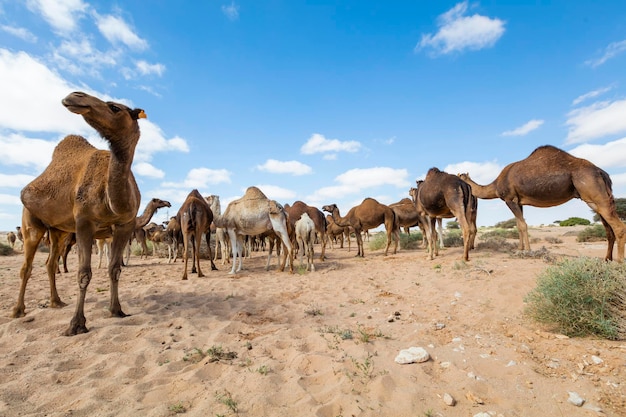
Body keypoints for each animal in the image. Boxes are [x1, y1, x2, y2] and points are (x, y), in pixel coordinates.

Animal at [14, 91, 147, 334]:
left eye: (114, 107)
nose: (75, 96)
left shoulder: (125, 225)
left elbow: (115, 269)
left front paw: (117, 310)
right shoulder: (85, 222)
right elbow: (84, 273)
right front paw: (76, 324)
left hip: (59, 230)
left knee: (50, 263)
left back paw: (56, 302)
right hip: (31, 222)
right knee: (26, 266)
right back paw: (18, 310)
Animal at [456, 144, 624, 260]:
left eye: (461, 176)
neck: (496, 185)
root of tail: (601, 172)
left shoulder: (510, 199)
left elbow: (523, 225)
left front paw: (527, 250)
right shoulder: (519, 202)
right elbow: (519, 225)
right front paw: (521, 248)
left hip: (594, 194)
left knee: (619, 227)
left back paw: (619, 262)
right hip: (597, 199)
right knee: (608, 229)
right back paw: (607, 259)